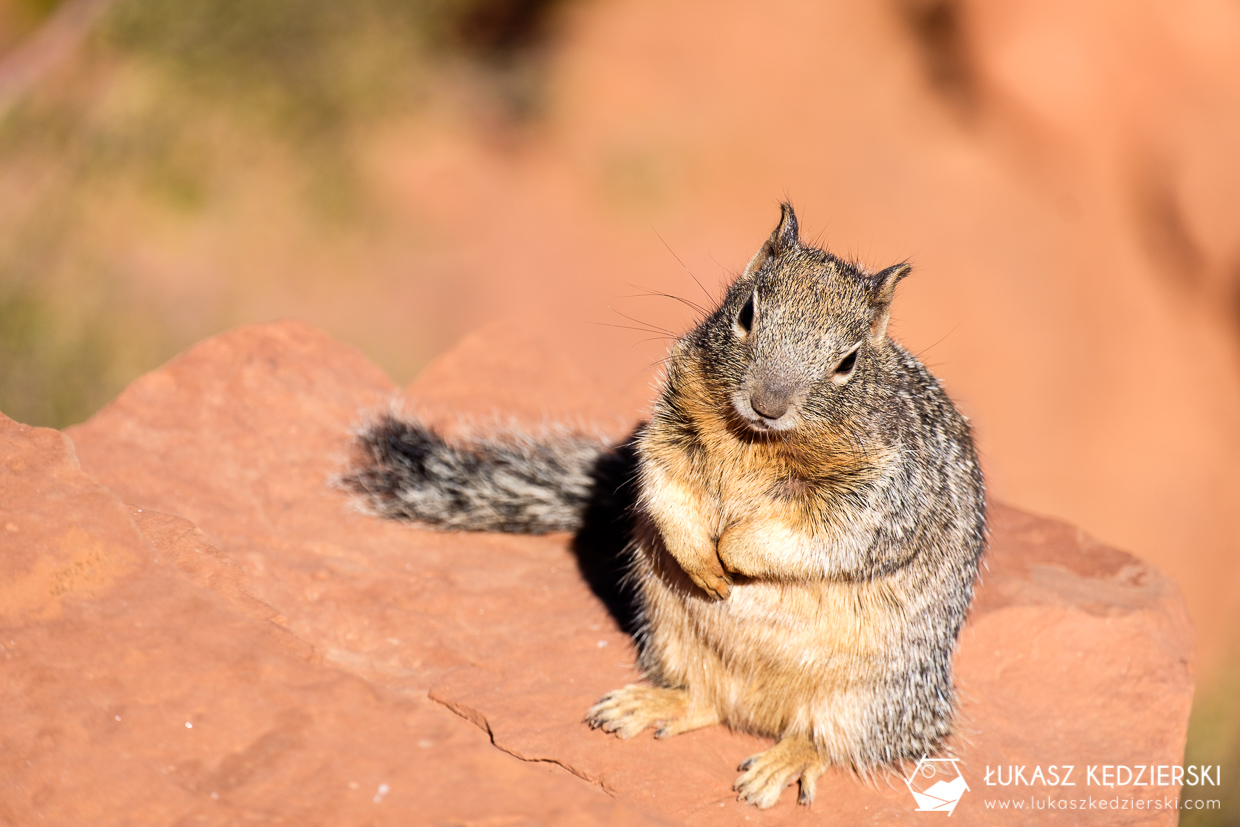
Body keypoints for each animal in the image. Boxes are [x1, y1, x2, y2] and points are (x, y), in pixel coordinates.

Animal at [342, 203, 987, 813]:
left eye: (849, 362)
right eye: (746, 312)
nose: (768, 403)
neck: (757, 440)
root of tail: (757, 714)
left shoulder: (883, 496)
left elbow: (823, 533)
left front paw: (732, 554)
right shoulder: (670, 421)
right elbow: (663, 482)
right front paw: (703, 558)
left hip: (871, 699)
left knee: (836, 743)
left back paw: (781, 765)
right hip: (673, 636)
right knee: (706, 701)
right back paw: (647, 705)